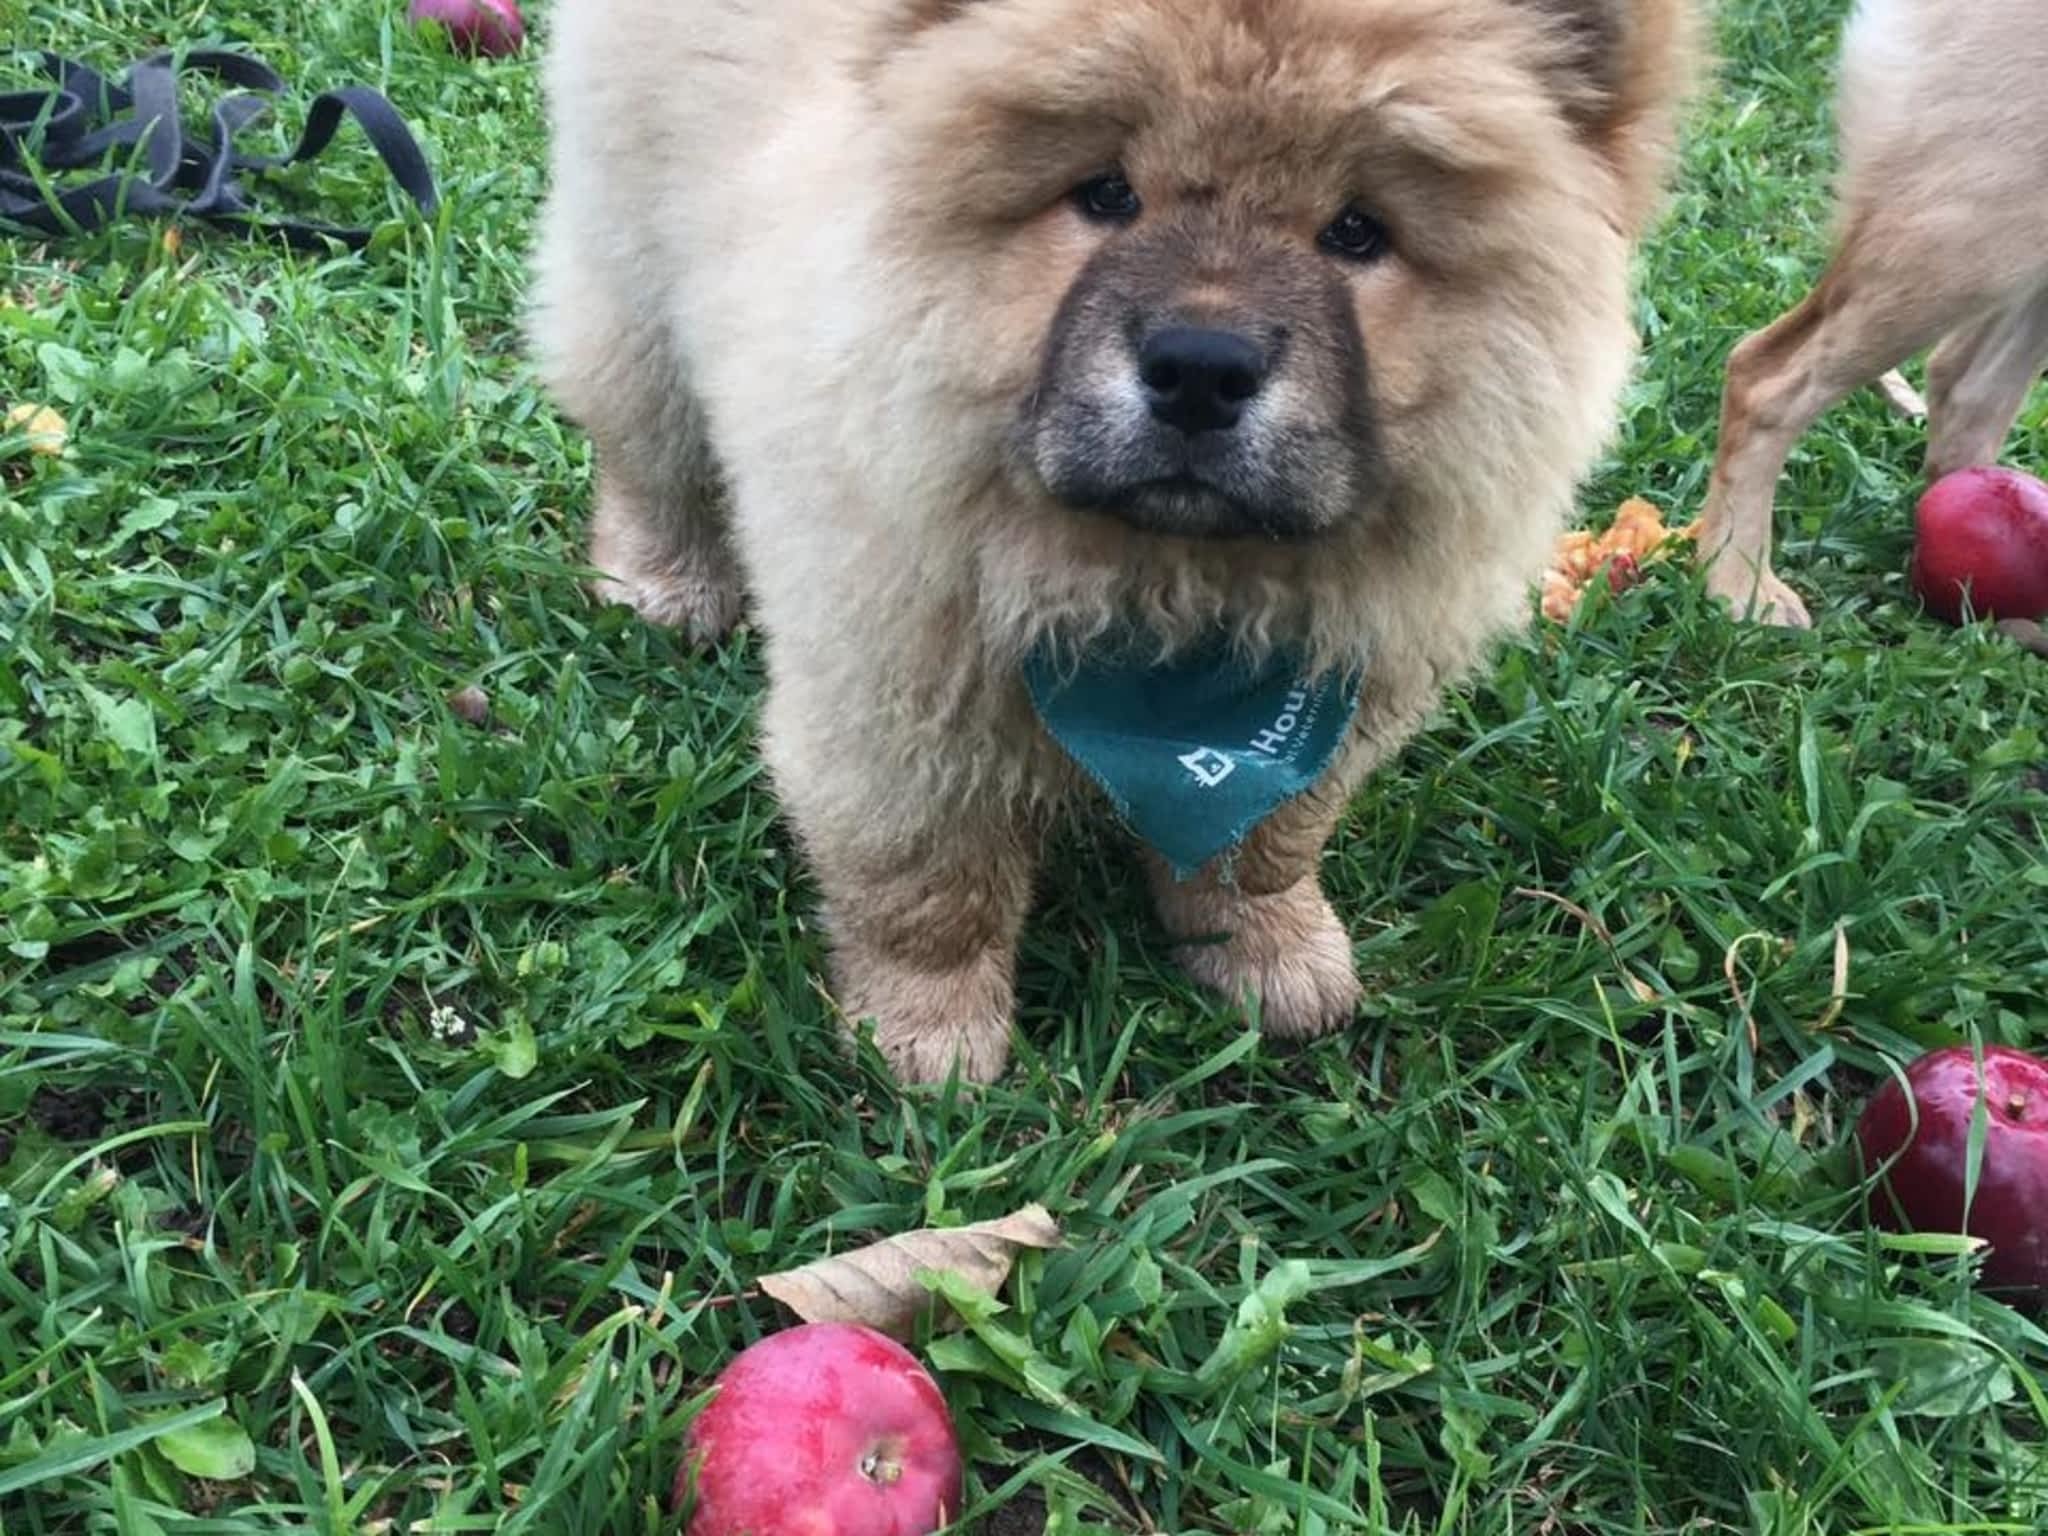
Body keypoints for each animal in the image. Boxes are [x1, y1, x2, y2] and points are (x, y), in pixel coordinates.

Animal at [532, 0, 1695, 1081]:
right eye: (1104, 195)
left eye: (1358, 232)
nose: (1200, 367)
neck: (1159, 597)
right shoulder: (893, 698)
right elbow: (926, 884)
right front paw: (927, 1042)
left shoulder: (1326, 692)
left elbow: (1265, 843)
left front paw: (1271, 958)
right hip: (630, 268)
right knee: (644, 439)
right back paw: (664, 582)